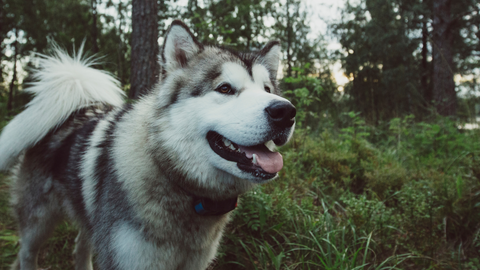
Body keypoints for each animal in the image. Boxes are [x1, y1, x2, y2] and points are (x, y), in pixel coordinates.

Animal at [0, 21, 296, 270]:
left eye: (267, 89)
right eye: (225, 88)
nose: (286, 111)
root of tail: (76, 108)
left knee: (81, 246)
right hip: (37, 224)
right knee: (26, 254)